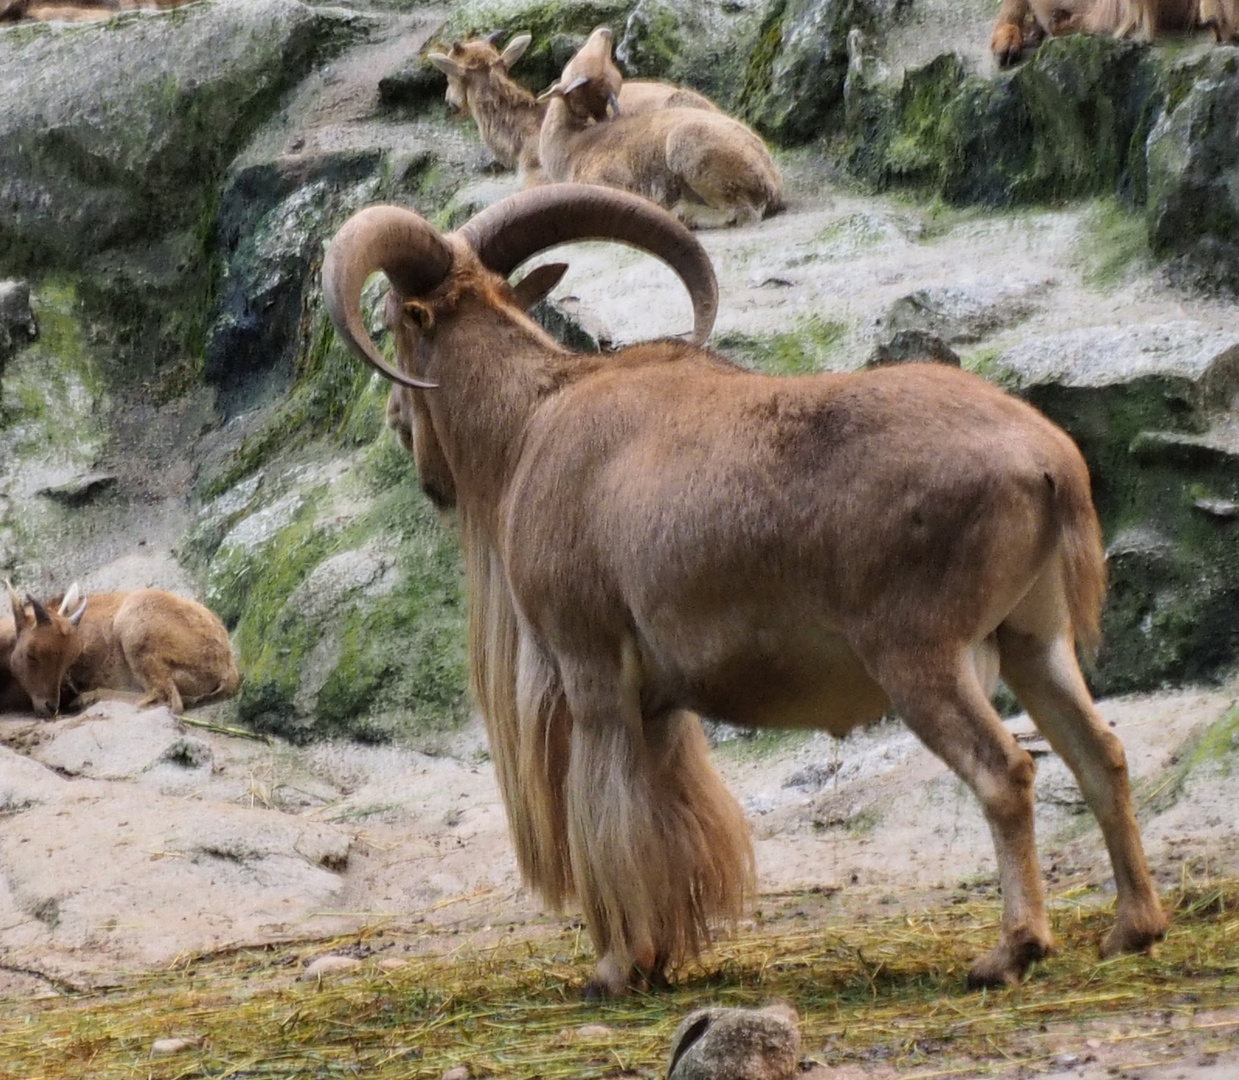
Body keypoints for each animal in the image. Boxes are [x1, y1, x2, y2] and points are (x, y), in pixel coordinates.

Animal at [6, 582, 240, 718]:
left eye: (31, 653)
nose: (49, 706)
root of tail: (227, 669)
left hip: (136, 637)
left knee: (164, 698)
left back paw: (87, 699)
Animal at [322, 183, 1169, 995]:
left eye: (395, 326)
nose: (400, 425)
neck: (532, 421)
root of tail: (1048, 461)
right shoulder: (658, 703)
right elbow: (663, 818)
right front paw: (664, 956)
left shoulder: (589, 668)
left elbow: (609, 812)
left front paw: (618, 966)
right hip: (1033, 640)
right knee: (1101, 757)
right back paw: (1132, 928)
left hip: (920, 654)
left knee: (1007, 772)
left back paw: (1010, 951)